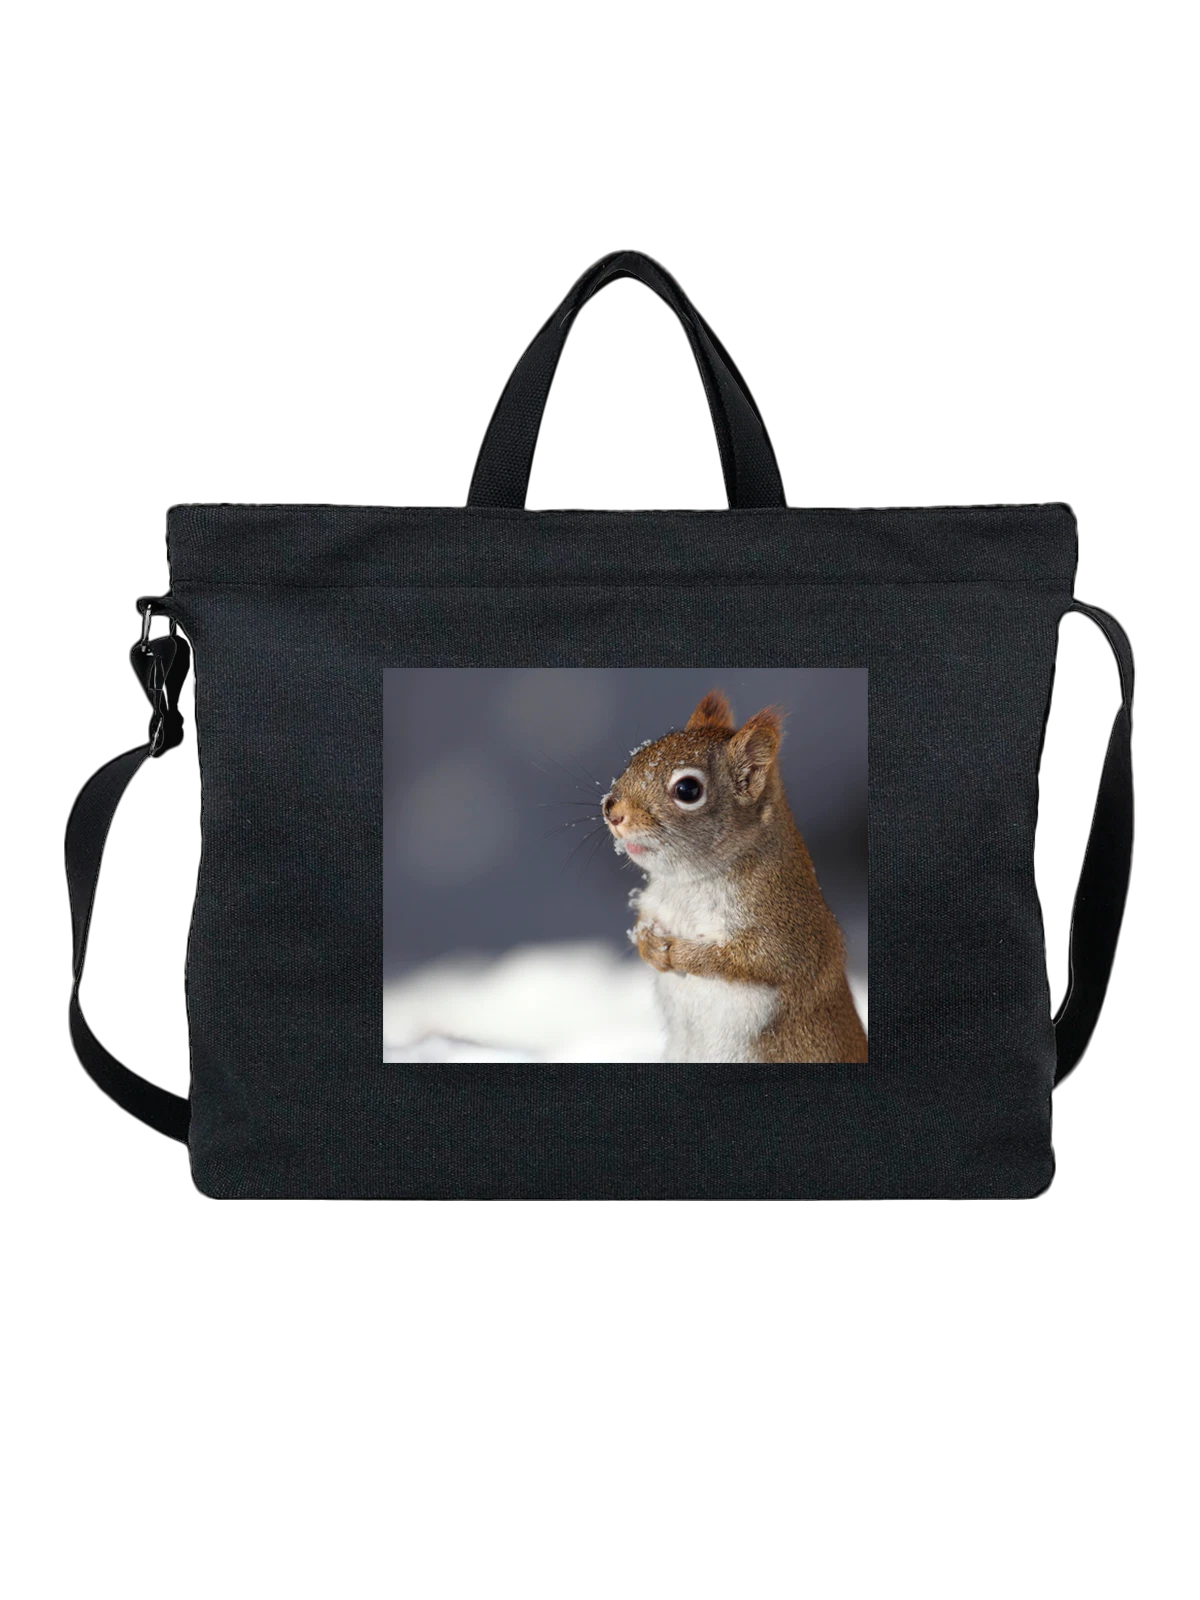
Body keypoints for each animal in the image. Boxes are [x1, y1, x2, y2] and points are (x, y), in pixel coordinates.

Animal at [603, 690, 867, 1065]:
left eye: (688, 789)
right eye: (638, 756)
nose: (611, 810)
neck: (688, 883)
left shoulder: (783, 932)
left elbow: (748, 960)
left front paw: (681, 954)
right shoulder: (655, 901)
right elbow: (643, 921)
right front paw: (649, 945)